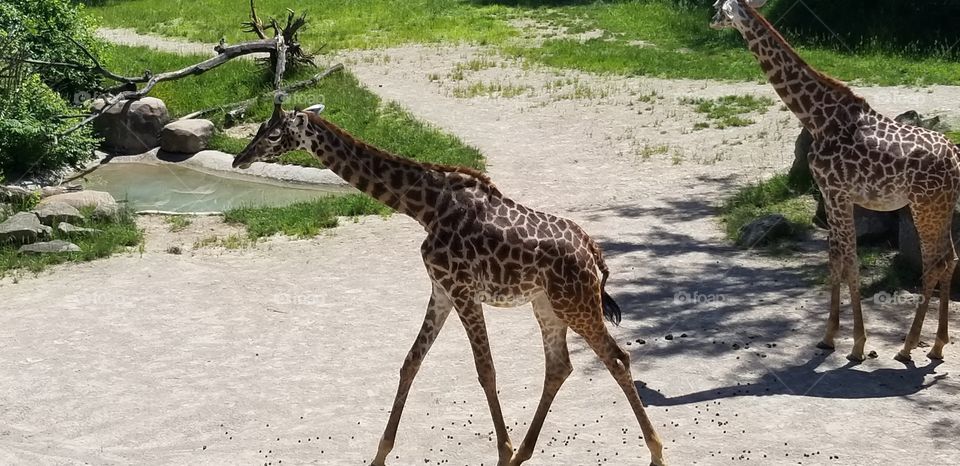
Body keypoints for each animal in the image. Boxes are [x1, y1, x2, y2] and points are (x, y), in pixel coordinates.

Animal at [232, 100, 668, 466]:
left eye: (274, 134)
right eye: (259, 128)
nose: (239, 158)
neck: (425, 207)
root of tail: (594, 254)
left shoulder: (463, 290)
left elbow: (485, 370)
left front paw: (501, 451)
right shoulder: (440, 290)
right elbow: (411, 362)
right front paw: (380, 455)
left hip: (576, 303)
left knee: (616, 358)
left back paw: (655, 452)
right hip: (547, 305)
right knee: (559, 366)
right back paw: (524, 454)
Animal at [708, 0, 960, 362]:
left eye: (717, 6)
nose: (710, 21)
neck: (816, 117)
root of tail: (956, 157)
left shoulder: (838, 192)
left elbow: (851, 262)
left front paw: (857, 344)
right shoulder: (830, 194)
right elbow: (835, 259)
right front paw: (829, 337)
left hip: (924, 205)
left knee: (934, 263)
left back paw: (908, 346)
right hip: (942, 205)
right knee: (949, 259)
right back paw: (937, 345)